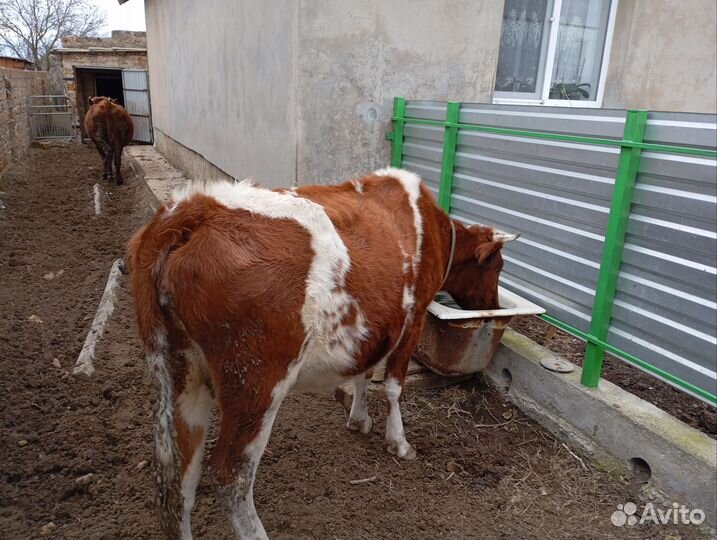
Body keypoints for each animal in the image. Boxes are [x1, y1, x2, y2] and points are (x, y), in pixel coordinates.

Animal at [125, 168, 518, 540]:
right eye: (498, 267)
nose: (496, 306)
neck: (433, 227)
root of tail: (192, 208)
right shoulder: (415, 316)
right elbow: (393, 386)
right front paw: (400, 443)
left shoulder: (376, 321)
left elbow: (363, 373)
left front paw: (359, 419)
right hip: (255, 379)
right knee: (229, 476)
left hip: (179, 370)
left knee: (176, 482)